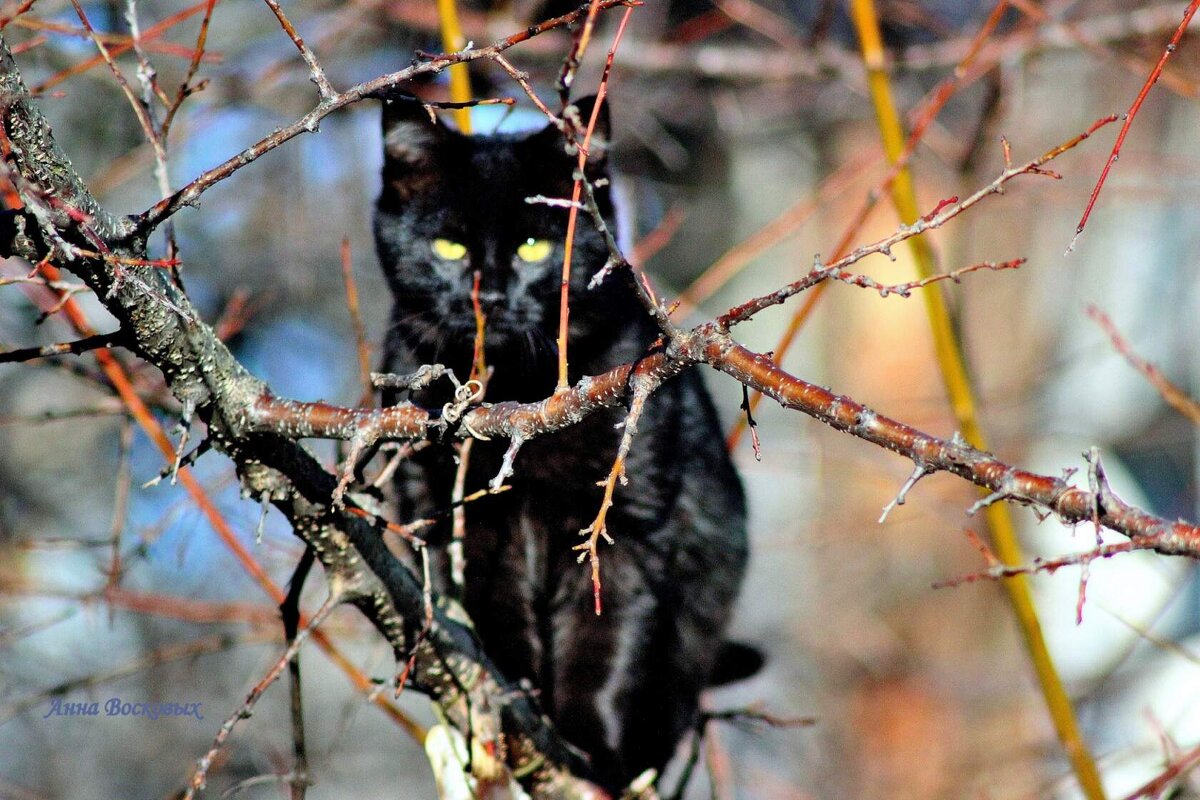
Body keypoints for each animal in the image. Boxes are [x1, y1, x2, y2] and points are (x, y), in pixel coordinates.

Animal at [374, 95, 748, 796]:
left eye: (533, 246)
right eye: (447, 246)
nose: (491, 295)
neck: (519, 397)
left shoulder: (625, 522)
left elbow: (603, 641)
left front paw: (590, 745)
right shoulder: (460, 521)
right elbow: (497, 620)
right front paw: (520, 692)